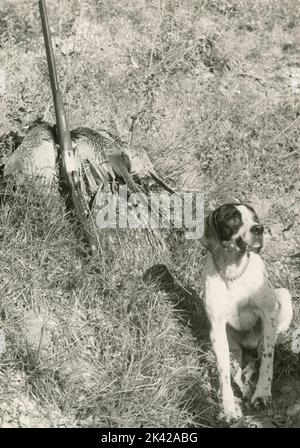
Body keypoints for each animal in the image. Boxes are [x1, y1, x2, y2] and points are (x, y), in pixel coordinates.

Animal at [200, 205, 292, 422]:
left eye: (255, 218)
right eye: (233, 219)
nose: (259, 228)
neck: (233, 270)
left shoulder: (269, 314)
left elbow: (267, 359)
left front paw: (261, 394)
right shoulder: (216, 329)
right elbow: (223, 372)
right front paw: (228, 408)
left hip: (283, 296)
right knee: (236, 362)